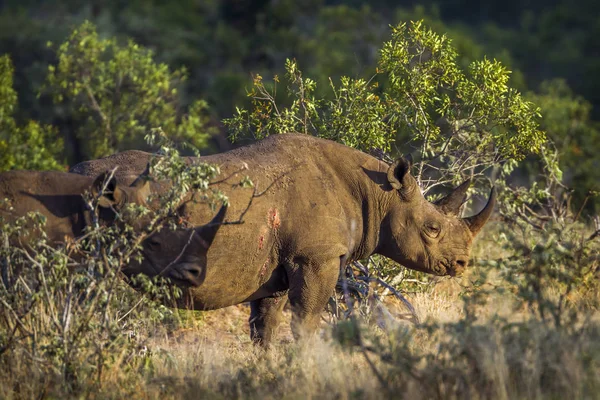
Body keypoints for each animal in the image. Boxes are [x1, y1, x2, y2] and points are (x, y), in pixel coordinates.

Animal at [70, 134, 494, 344]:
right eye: (432, 229)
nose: (461, 265)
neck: (379, 193)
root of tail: (74, 172)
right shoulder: (316, 257)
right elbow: (305, 322)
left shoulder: (271, 268)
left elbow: (266, 327)